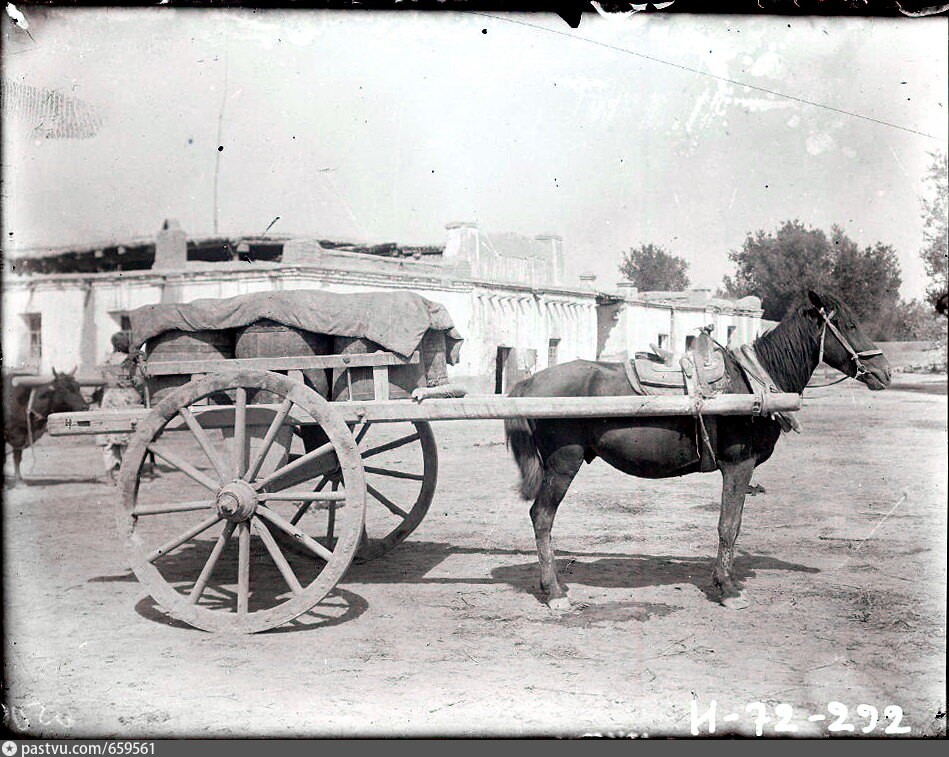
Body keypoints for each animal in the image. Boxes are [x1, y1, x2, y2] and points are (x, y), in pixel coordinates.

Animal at [504, 292, 888, 612]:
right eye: (849, 325)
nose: (884, 372)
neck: (753, 383)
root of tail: (528, 383)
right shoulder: (739, 465)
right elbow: (729, 526)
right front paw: (728, 589)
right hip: (563, 463)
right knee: (542, 516)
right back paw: (554, 592)